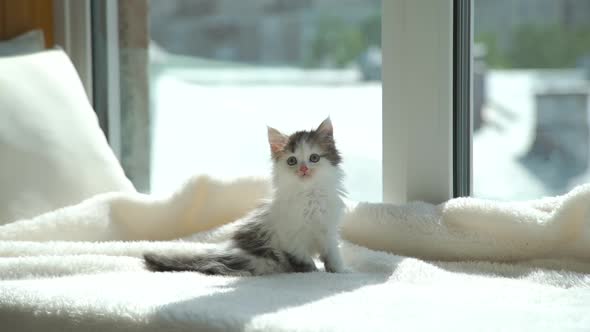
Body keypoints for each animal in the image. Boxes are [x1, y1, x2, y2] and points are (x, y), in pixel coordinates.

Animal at [143, 118, 346, 276]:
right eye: (292, 161)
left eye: (314, 158)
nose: (303, 170)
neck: (310, 196)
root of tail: (226, 251)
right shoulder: (292, 239)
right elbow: (304, 261)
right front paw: (313, 272)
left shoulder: (328, 230)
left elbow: (333, 255)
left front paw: (341, 272)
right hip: (263, 260)